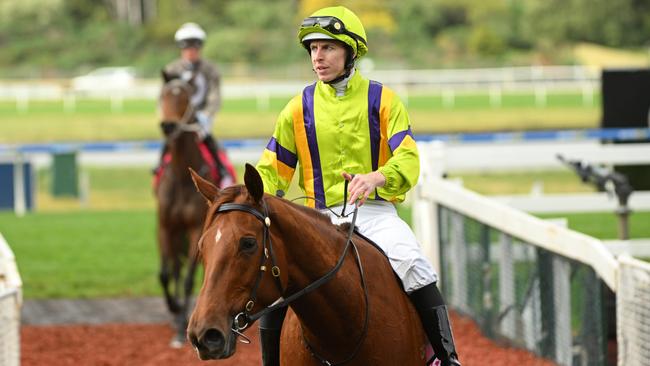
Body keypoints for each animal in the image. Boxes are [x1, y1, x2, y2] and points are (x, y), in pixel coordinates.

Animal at [154, 71, 225, 346]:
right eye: (163, 95)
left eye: (184, 97)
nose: (169, 126)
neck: (182, 177)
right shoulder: (165, 227)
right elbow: (165, 274)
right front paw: (174, 310)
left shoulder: (196, 229)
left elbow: (187, 280)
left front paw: (181, 320)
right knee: (173, 269)